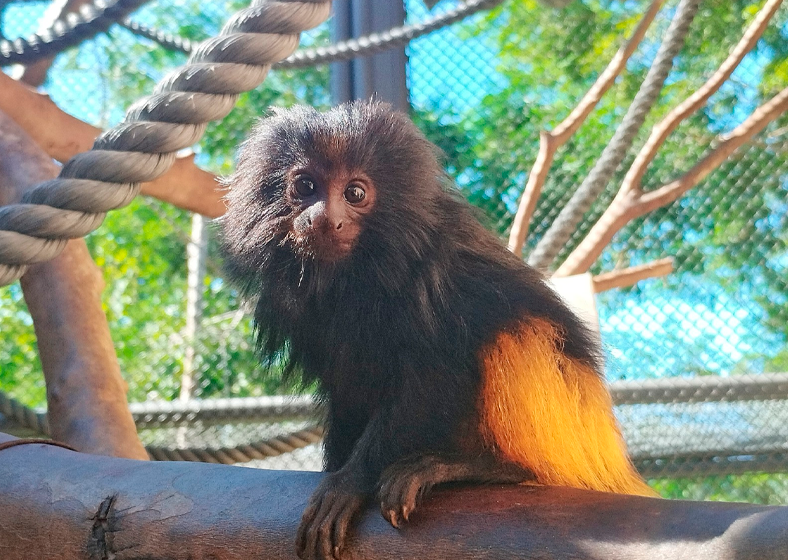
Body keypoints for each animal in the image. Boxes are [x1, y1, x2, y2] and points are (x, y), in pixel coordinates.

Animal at [220, 99, 652, 560]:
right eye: (305, 186)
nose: (324, 218)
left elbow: (434, 378)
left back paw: (489, 468)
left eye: (355, 193)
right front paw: (338, 466)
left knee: (516, 330)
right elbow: (347, 389)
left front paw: (350, 481)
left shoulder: (433, 273)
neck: (356, 277)